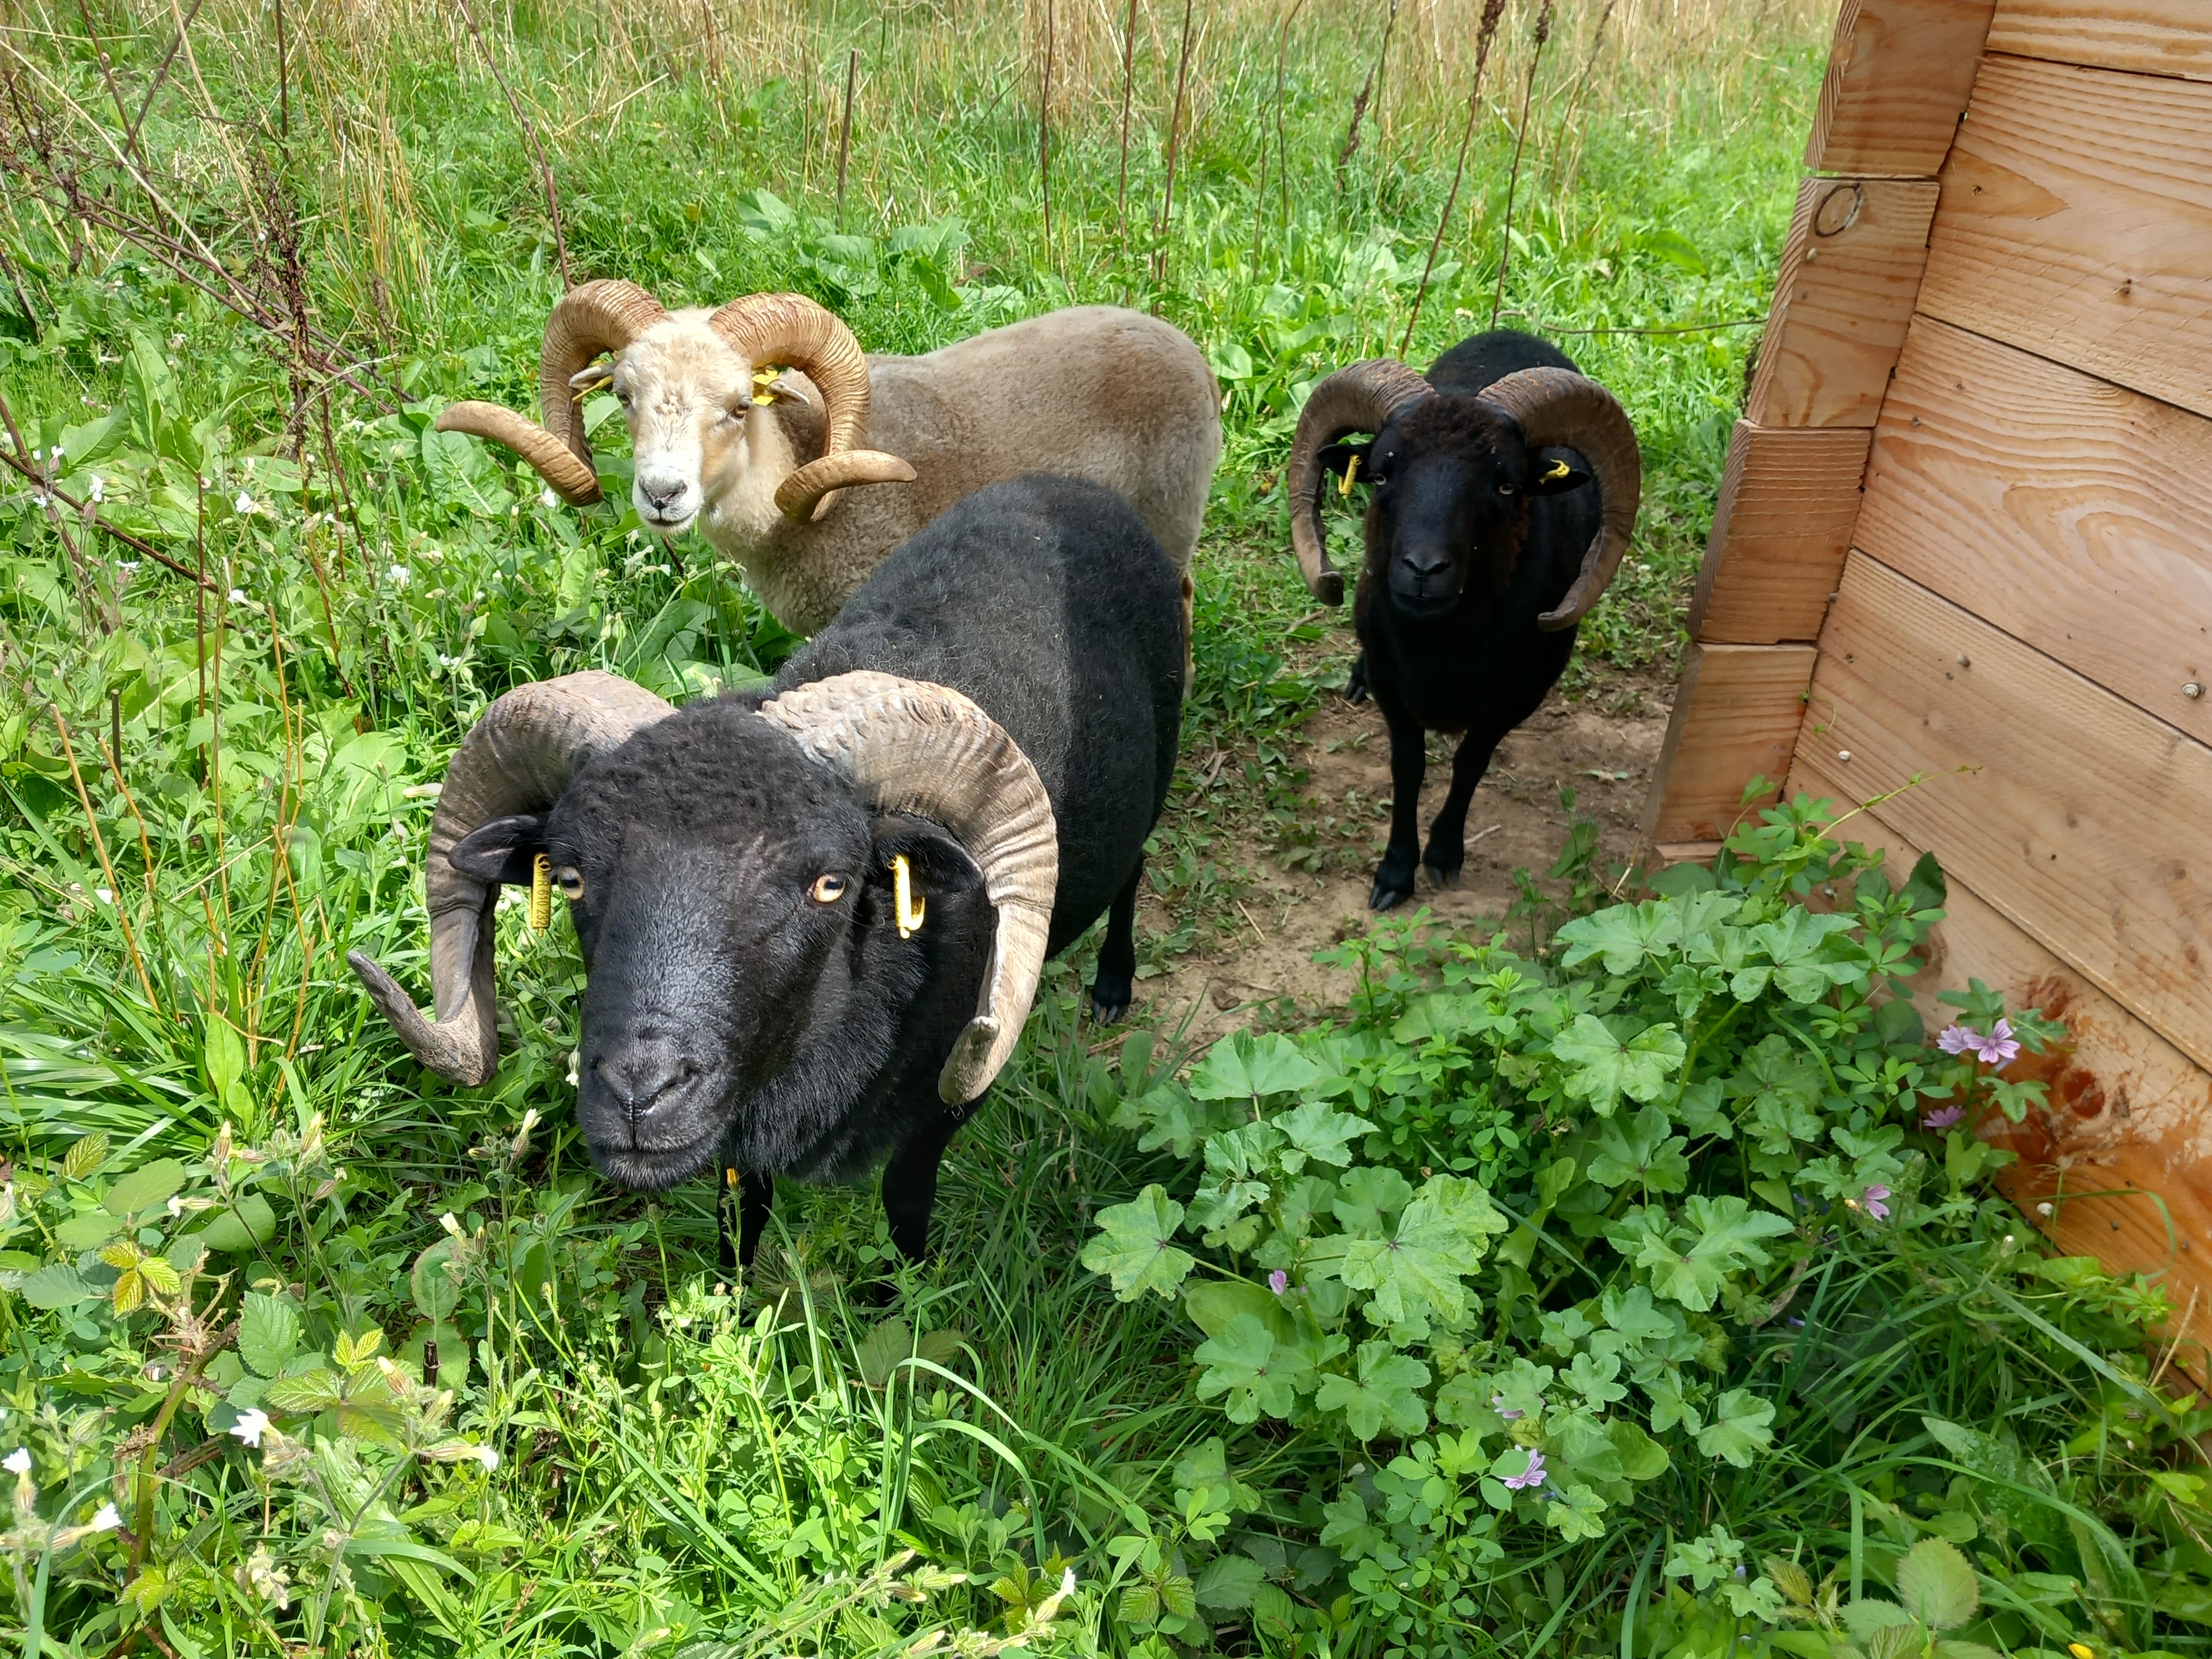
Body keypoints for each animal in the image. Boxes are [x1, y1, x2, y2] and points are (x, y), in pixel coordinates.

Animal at [347, 474, 1184, 1267]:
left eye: (831, 884)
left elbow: (904, 1210)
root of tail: (1069, 487)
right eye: (574, 878)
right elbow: (741, 1215)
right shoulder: (736, 1140)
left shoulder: (943, 1109)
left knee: (1136, 865)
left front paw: (901, 1298)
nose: (638, 1096)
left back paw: (1113, 984)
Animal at [1282, 330, 1642, 911]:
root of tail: (1513, 332)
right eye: (1380, 473)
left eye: (1506, 485)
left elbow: (1470, 763)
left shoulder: (1521, 696)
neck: (1444, 650)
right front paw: (1395, 874)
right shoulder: (1393, 687)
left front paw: (1443, 855)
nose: (1423, 570)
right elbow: (1409, 767)